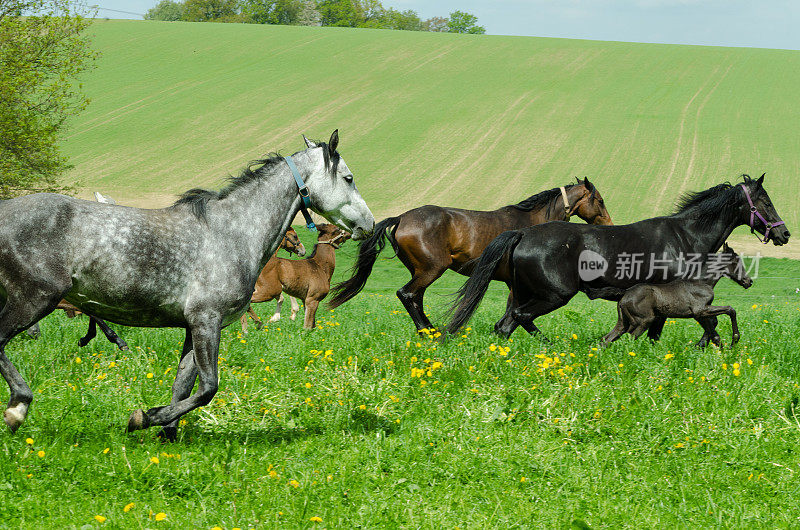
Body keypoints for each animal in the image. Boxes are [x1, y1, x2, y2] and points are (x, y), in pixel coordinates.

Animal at [0, 130, 376, 436]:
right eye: (348, 178)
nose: (369, 224)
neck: (234, 232)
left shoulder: (194, 326)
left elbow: (183, 386)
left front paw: (167, 437)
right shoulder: (206, 321)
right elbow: (208, 387)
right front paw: (142, 419)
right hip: (34, 299)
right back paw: (18, 408)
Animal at [328, 179, 616, 332]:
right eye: (600, 200)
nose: (610, 225)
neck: (530, 222)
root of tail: (401, 217)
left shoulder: (511, 283)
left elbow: (510, 313)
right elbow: (513, 313)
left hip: (420, 271)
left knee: (415, 298)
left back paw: (431, 330)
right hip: (432, 269)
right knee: (407, 294)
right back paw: (428, 332)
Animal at [446, 175, 792, 344]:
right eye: (765, 201)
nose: (784, 233)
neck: (685, 237)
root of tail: (522, 234)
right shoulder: (680, 299)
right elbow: (710, 325)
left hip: (522, 293)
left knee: (504, 325)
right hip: (553, 295)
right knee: (520, 319)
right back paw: (551, 346)